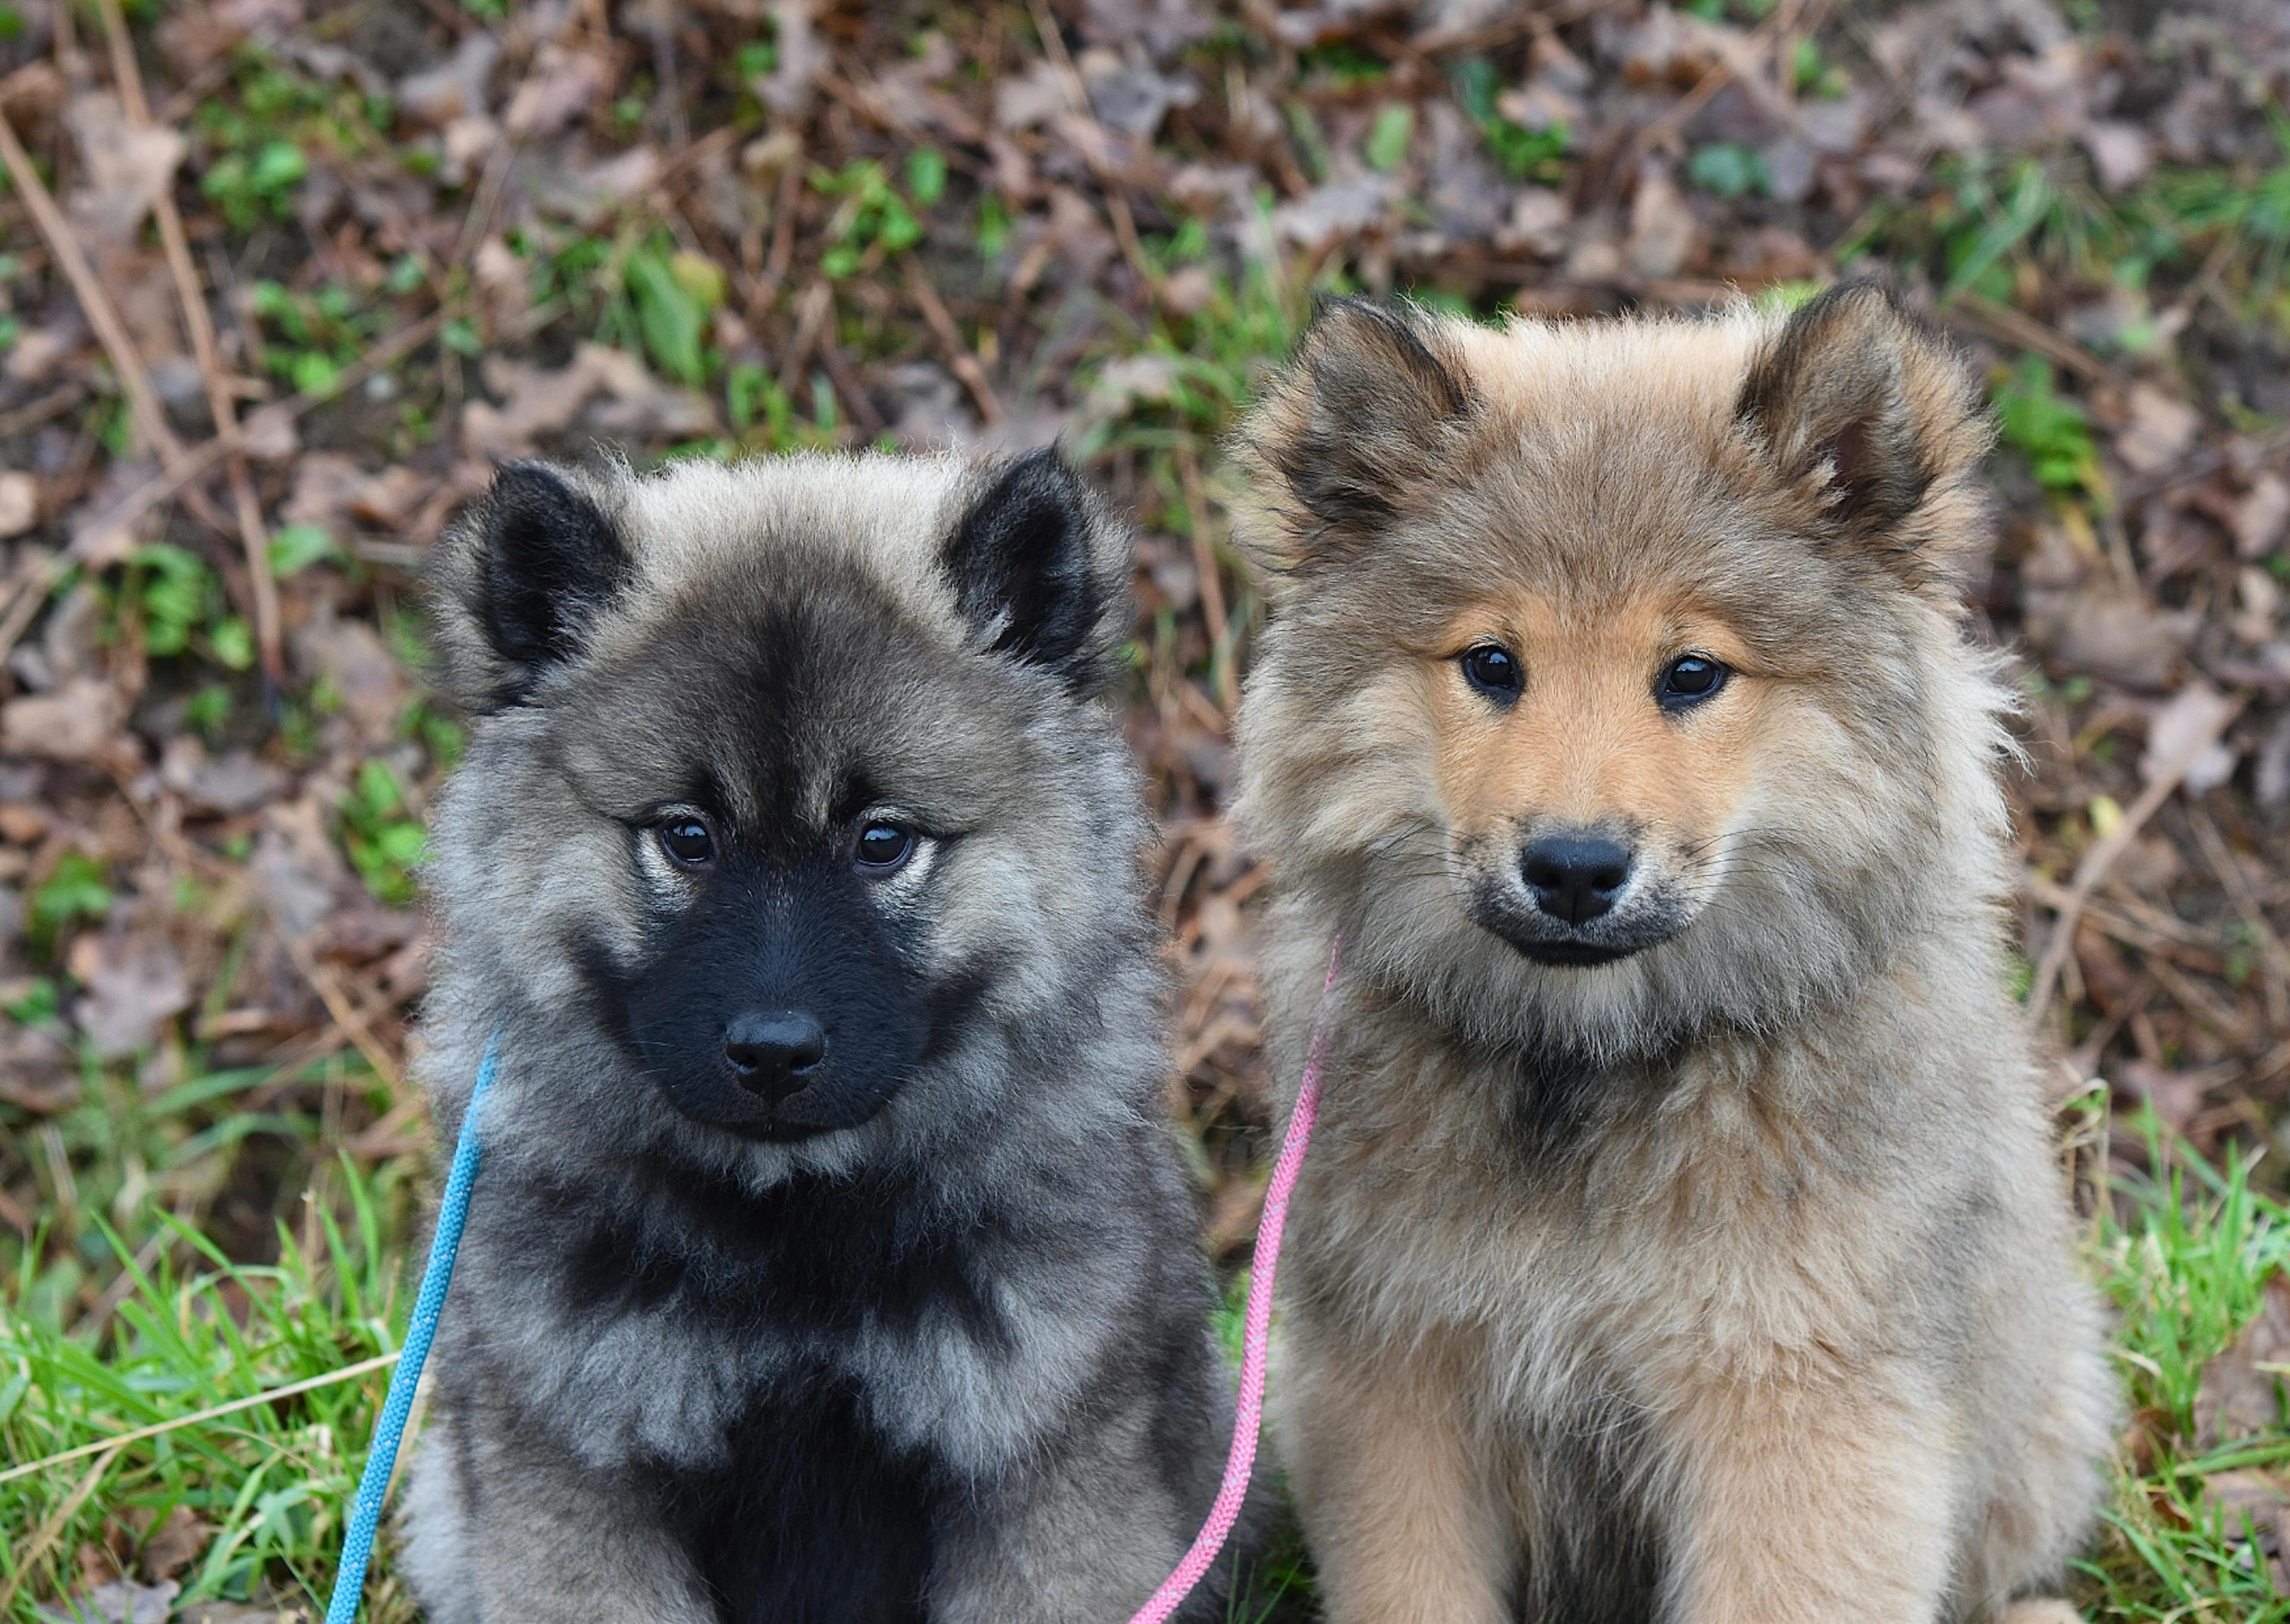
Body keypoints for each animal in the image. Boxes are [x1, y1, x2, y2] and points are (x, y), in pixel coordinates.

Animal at [403, 449, 1245, 1622]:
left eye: (882, 841)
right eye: (687, 836)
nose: (772, 1051)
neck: (795, 1234)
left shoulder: (1041, 1476)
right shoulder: (580, 1482)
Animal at [1236, 290, 2106, 1622]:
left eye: (1691, 673)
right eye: (1493, 664)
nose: (1573, 867)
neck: (1590, 1069)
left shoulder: (1798, 1410)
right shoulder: (1398, 1384)